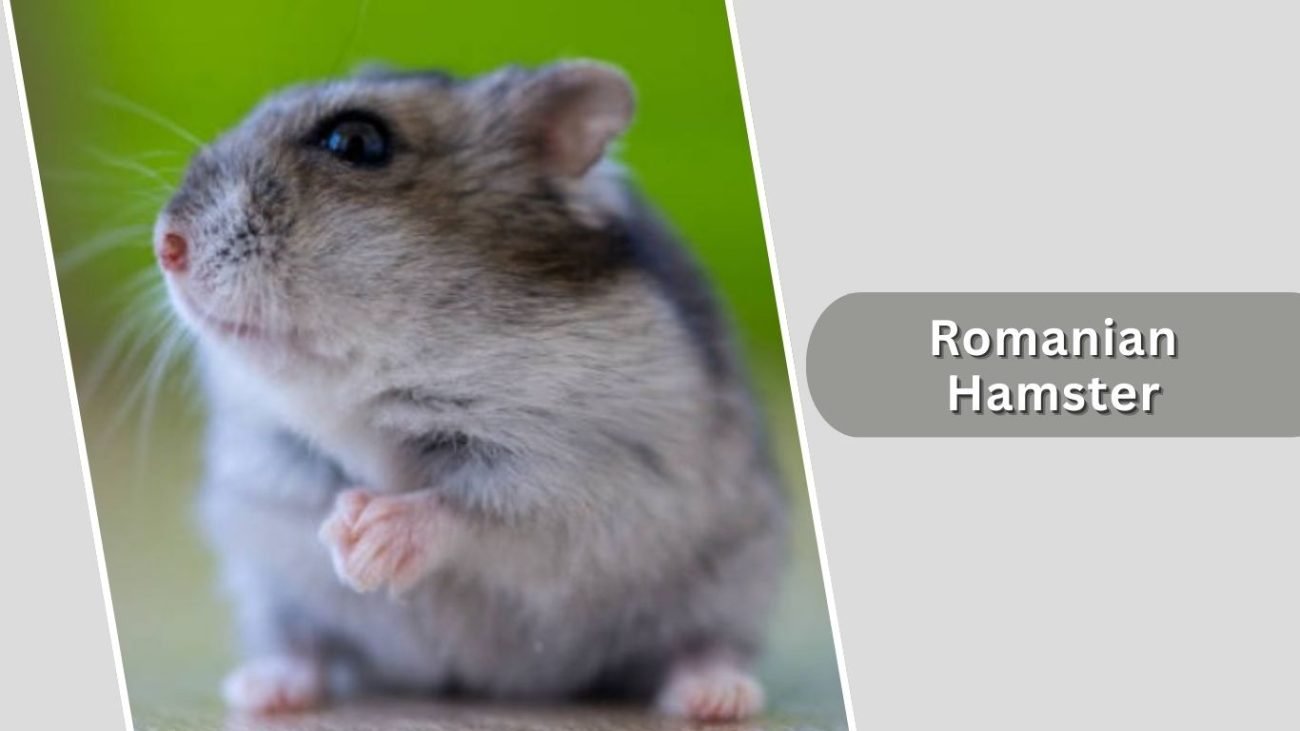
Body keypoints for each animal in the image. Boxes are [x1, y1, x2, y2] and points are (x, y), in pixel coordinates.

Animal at [152, 60, 787, 722]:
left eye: (356, 142)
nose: (165, 246)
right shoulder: (269, 473)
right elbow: (318, 500)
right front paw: (342, 532)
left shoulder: (586, 484)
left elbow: (471, 510)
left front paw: (367, 540)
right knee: (301, 643)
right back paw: (260, 691)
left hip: (733, 579)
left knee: (707, 644)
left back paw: (717, 698)